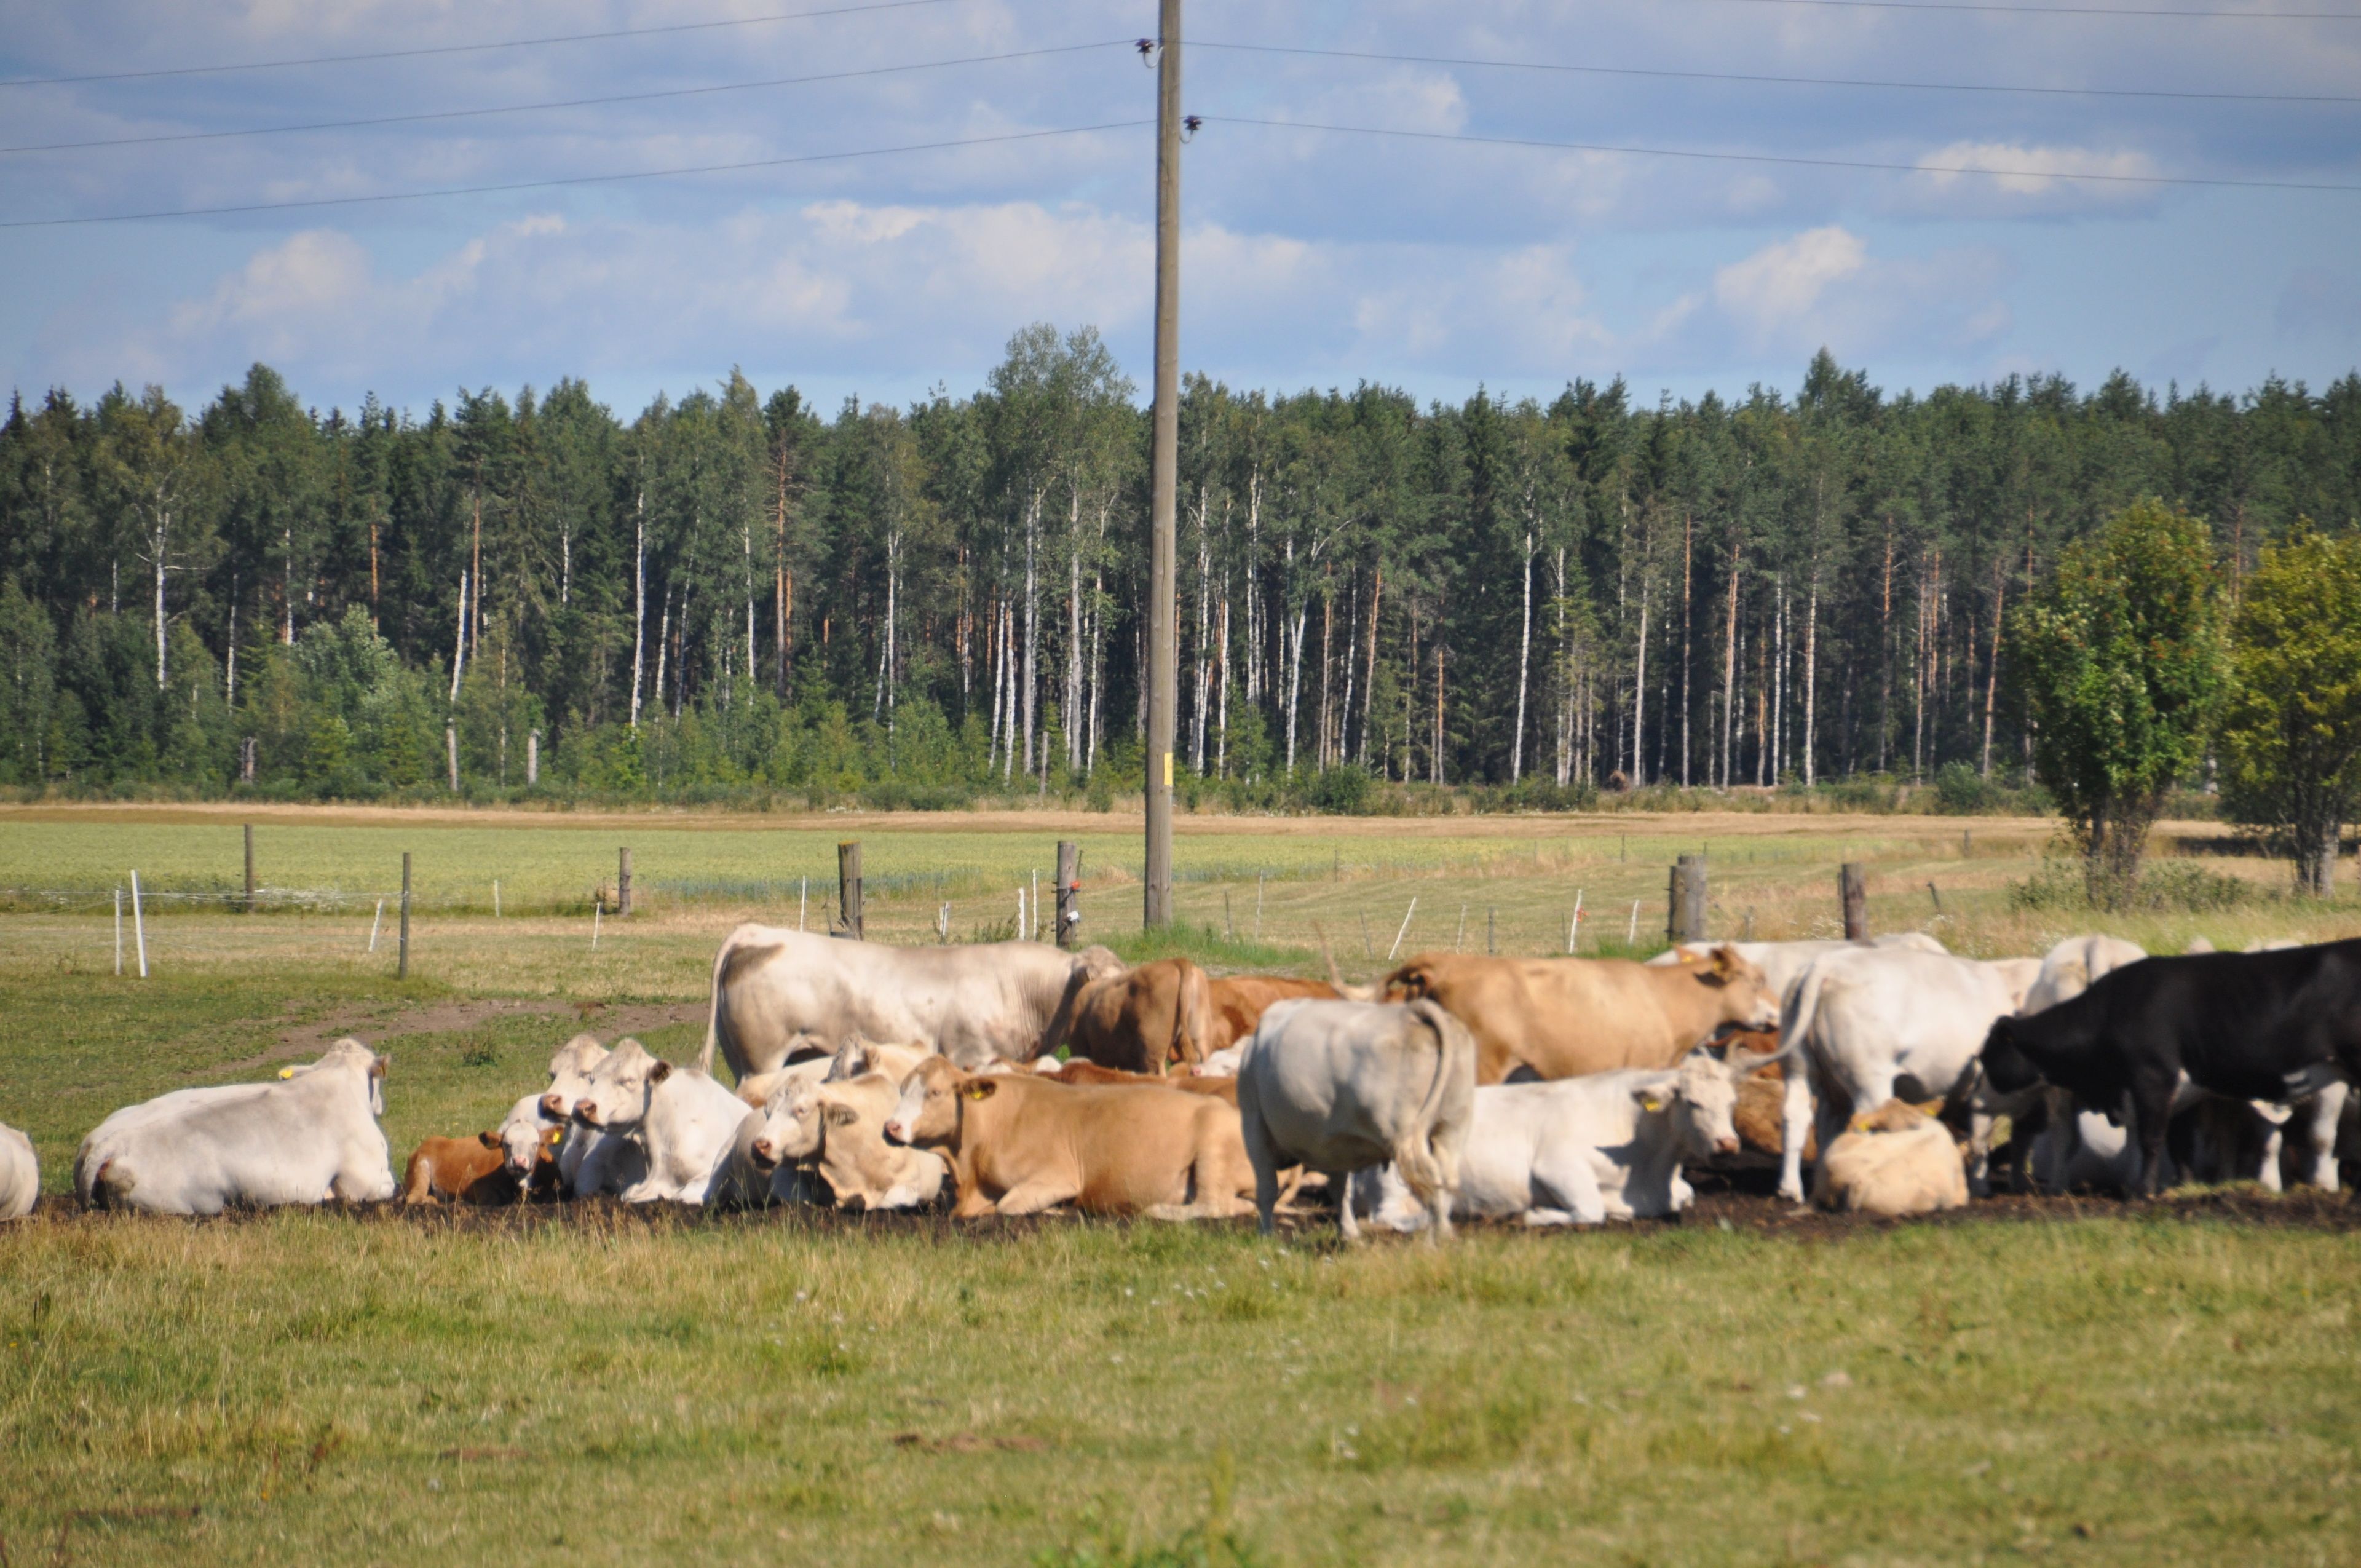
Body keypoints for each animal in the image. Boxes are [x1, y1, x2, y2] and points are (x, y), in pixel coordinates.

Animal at [884, 1056, 1253, 1219]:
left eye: (934, 1092)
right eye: (901, 1089)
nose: (891, 1127)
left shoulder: (1058, 1177)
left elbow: (1008, 1205)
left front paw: (1057, 1210)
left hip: (1212, 1151)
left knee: (1214, 1205)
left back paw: (1159, 1209)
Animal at [1235, 997, 1477, 1241]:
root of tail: (1411, 1012)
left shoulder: (1254, 1125)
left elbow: (1267, 1189)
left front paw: (1265, 1236)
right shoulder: (1336, 1143)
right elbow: (1341, 1190)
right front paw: (1349, 1234)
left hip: (1404, 1131)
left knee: (1428, 1175)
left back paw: (1441, 1237)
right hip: (1453, 1124)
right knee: (1448, 1177)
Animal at [1357, 1044, 1766, 1231]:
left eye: (1732, 1102)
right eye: (1693, 1102)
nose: (1728, 1145)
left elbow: (1686, 1194)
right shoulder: (1556, 1165)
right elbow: (1590, 1211)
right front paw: (1533, 1214)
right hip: (1396, 1180)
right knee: (1391, 1217)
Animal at [1774, 947, 2033, 1203]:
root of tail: (1827, 964)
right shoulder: (1983, 1091)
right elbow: (1982, 1137)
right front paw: (1981, 1186)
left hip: (1799, 1066)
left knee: (1797, 1115)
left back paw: (1792, 1189)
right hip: (1870, 1081)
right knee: (1863, 1123)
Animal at [1980, 940, 2361, 1196]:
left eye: (1987, 1055)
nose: (1976, 1098)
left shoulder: (2155, 1077)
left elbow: (2152, 1139)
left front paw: (2145, 1190)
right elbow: (2162, 1139)